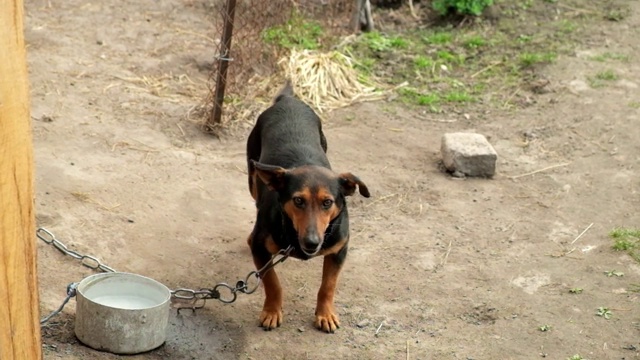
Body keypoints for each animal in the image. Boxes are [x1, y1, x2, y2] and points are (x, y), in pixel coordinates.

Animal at [245, 81, 370, 332]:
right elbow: (272, 282)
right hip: (253, 176)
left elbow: (328, 286)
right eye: (298, 201)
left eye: (327, 202)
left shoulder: (339, 250)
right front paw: (272, 312)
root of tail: (288, 101)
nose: (312, 242)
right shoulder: (260, 248)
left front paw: (325, 314)